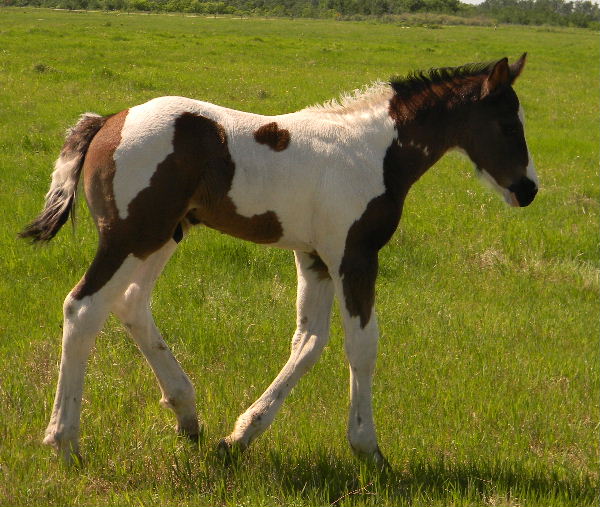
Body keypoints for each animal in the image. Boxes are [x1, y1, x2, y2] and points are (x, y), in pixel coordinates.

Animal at [21, 54, 538, 465]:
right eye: (508, 124)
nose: (528, 189)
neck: (372, 151)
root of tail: (109, 120)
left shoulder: (314, 258)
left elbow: (308, 342)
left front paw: (239, 436)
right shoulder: (354, 256)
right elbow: (362, 346)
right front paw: (368, 449)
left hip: (163, 236)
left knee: (130, 304)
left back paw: (188, 415)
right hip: (130, 236)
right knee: (83, 307)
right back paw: (65, 442)